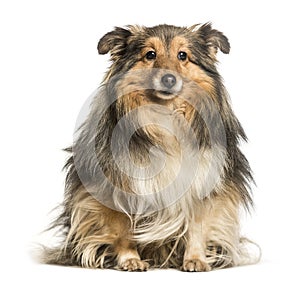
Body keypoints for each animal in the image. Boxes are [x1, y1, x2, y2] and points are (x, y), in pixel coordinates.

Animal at [42, 23, 260, 270]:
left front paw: (195, 259)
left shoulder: (206, 180)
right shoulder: (115, 185)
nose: (168, 79)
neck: (164, 116)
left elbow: (198, 224)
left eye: (183, 55)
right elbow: (122, 228)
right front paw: (130, 259)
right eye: (150, 55)